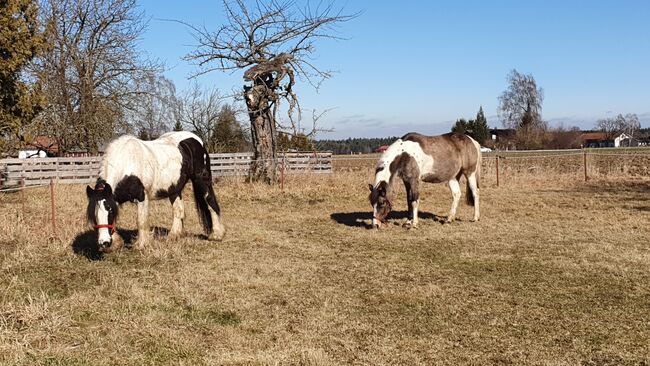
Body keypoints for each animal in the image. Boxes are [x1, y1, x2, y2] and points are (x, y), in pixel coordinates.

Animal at [85, 131, 225, 252]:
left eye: (109, 210)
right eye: (93, 214)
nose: (104, 243)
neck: (127, 164)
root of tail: (197, 140)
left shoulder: (141, 197)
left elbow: (141, 221)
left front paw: (141, 244)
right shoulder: (115, 197)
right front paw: (115, 243)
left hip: (202, 180)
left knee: (210, 202)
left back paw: (217, 234)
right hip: (174, 189)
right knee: (178, 211)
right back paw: (173, 235)